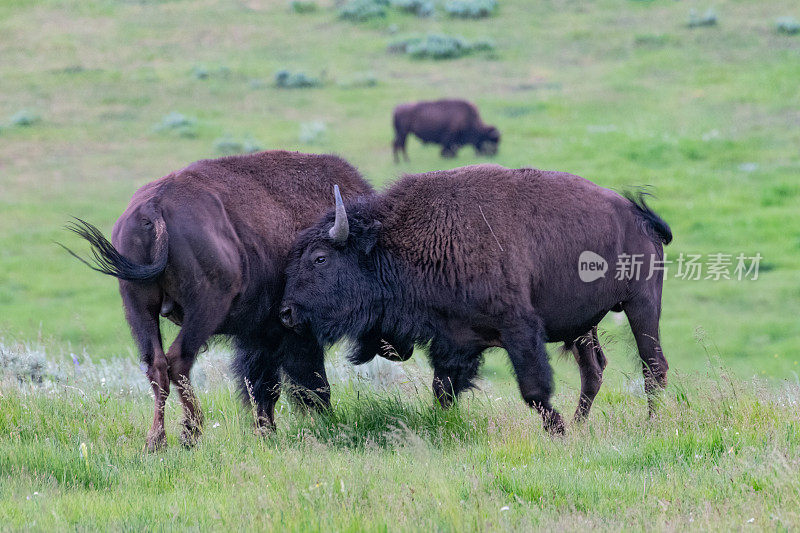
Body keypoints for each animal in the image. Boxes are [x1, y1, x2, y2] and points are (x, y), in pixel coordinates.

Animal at [65, 149, 410, 448]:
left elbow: (262, 386)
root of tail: (154, 206)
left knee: (156, 365)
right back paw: (191, 433)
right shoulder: (290, 332)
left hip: (138, 307)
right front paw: (322, 424)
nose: (400, 349)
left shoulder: (257, 334)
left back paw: (156, 441)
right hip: (205, 307)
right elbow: (309, 385)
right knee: (178, 360)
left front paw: (266, 433)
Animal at [278, 165, 672, 432]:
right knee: (594, 370)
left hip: (642, 304)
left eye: (319, 258)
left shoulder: (519, 329)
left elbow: (533, 389)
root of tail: (639, 216)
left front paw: (556, 432)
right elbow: (443, 389)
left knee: (653, 366)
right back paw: (580, 425)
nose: (286, 313)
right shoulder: (453, 339)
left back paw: (652, 424)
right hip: (583, 326)